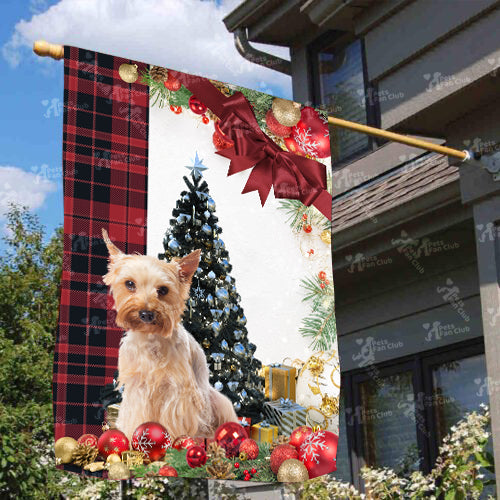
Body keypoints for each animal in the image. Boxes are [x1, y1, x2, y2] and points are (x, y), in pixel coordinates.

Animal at [101, 229, 238, 440]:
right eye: (130, 284)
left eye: (163, 290)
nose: (146, 314)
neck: (151, 338)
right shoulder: (138, 390)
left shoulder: (176, 392)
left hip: (219, 402)